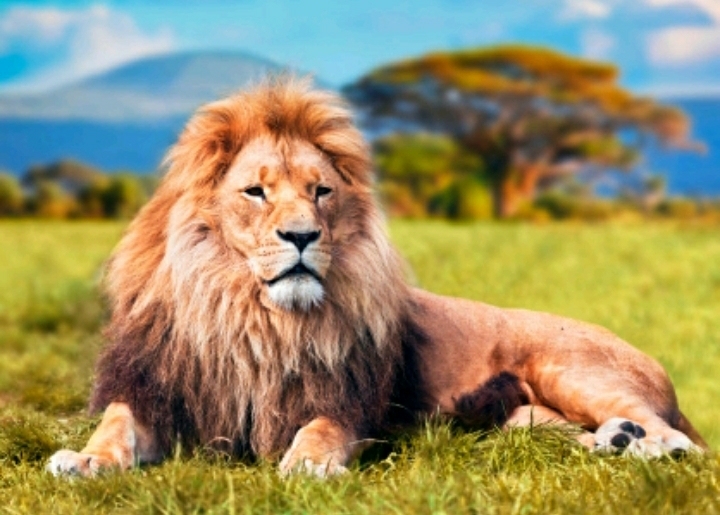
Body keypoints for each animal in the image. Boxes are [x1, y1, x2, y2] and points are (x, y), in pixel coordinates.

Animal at [48, 79, 706, 478]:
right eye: (256, 192)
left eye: (321, 192)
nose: (302, 236)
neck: (251, 316)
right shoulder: (154, 391)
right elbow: (115, 426)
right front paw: (83, 461)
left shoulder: (344, 402)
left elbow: (319, 431)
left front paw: (308, 466)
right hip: (522, 419)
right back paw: (616, 442)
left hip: (570, 368)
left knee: (681, 439)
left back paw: (650, 445)